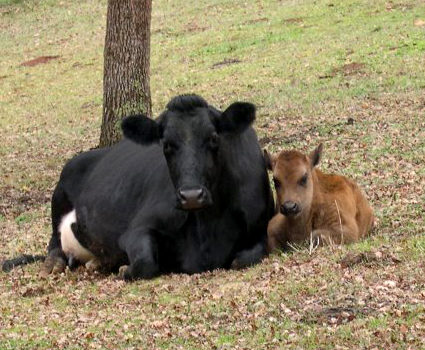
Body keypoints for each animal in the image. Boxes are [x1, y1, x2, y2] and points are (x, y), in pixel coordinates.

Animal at [4, 94, 274, 280]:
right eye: (166, 144)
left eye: (214, 138)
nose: (191, 196)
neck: (208, 226)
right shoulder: (136, 228)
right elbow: (145, 261)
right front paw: (124, 268)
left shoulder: (261, 223)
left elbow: (246, 257)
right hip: (59, 193)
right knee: (53, 241)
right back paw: (55, 263)